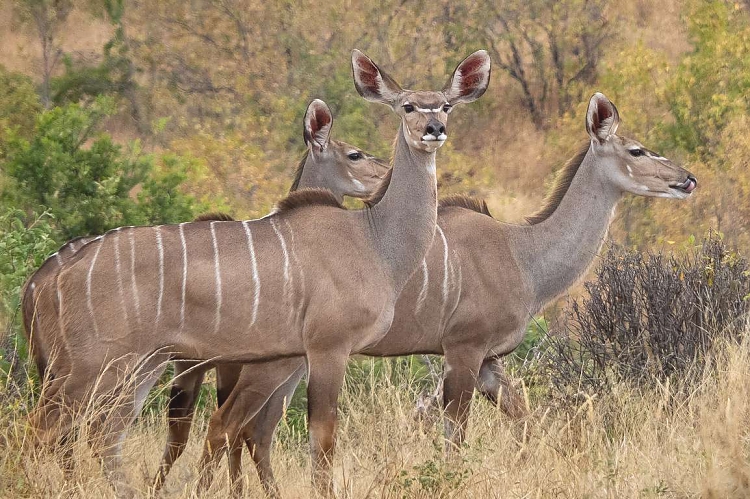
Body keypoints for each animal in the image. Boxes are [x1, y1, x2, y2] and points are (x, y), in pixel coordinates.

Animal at [27, 49, 494, 496]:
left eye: (447, 105)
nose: (433, 129)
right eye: (408, 106)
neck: (374, 239)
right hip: (92, 364)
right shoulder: (327, 348)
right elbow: (321, 438)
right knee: (47, 428)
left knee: (103, 432)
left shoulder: (292, 359)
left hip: (140, 364)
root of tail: (52, 278)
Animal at [179, 92, 696, 498]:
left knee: (246, 429)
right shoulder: (464, 350)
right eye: (637, 149)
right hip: (279, 363)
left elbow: (526, 422)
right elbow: (455, 438)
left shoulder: (489, 363)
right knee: (234, 426)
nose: (687, 179)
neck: (523, 256)